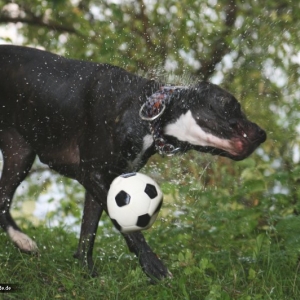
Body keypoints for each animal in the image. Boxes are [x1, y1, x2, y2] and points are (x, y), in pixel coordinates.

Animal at [0, 45, 268, 282]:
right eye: (230, 104)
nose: (263, 133)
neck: (147, 111)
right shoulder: (95, 175)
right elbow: (129, 230)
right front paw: (154, 267)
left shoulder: (103, 181)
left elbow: (88, 232)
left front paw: (87, 274)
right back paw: (22, 239)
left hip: (19, 155)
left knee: (3, 199)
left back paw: (21, 240)